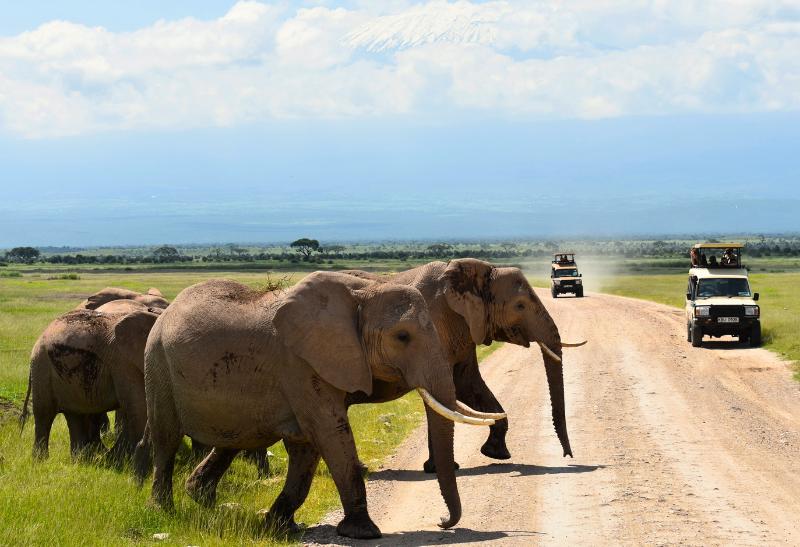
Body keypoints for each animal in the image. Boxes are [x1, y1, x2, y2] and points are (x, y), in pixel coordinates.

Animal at [136, 272, 500, 536]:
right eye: (402, 337)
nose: (441, 522)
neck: (362, 293)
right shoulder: (298, 363)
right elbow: (329, 434)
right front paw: (363, 533)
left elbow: (306, 446)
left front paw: (281, 527)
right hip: (156, 362)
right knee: (166, 439)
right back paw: (163, 510)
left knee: (234, 439)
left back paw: (201, 499)